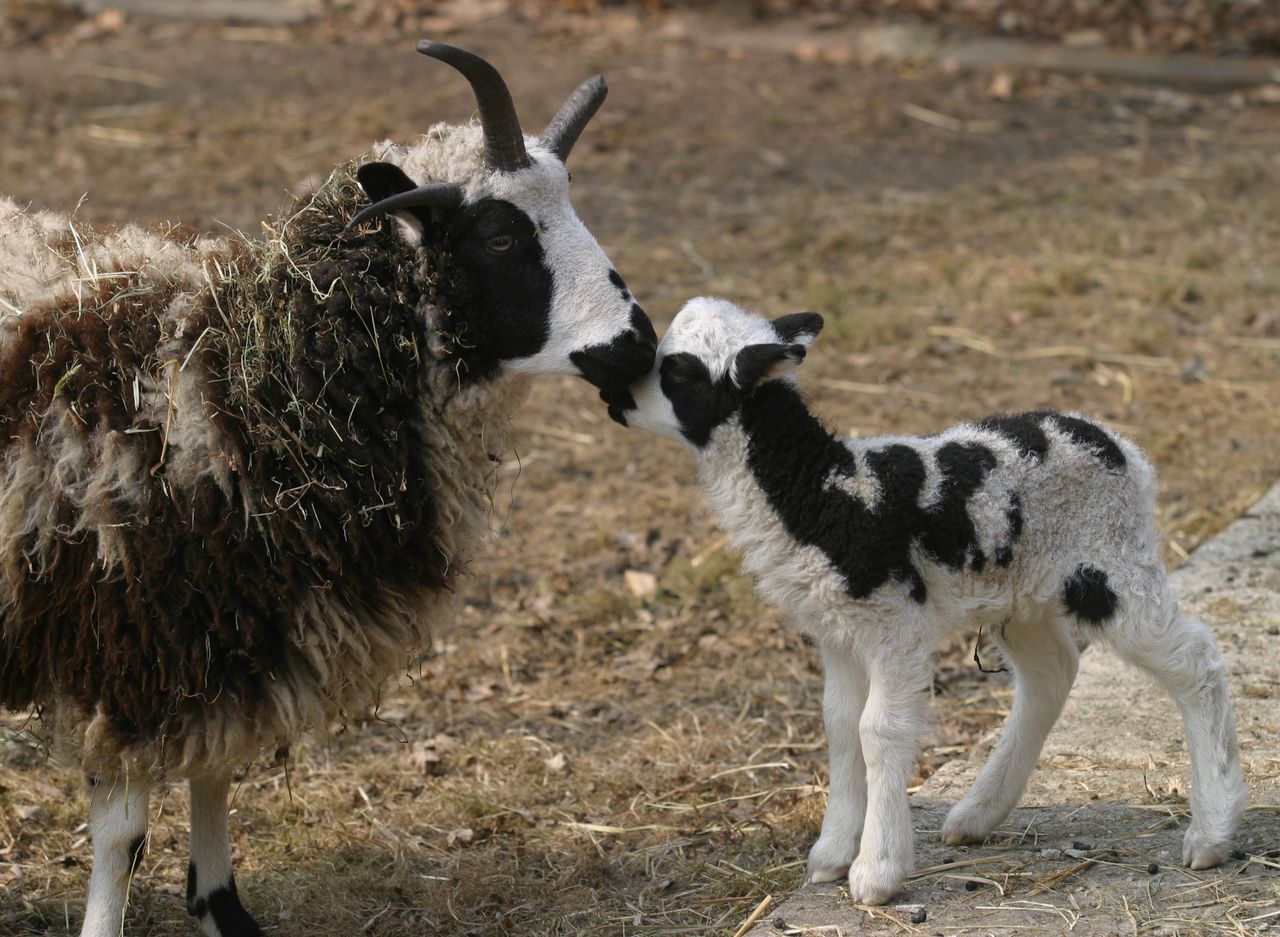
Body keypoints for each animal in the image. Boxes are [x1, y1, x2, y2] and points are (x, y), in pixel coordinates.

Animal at [0, 40, 655, 937]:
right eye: (498, 235)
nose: (639, 344)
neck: (247, 381)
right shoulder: (127, 639)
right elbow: (123, 834)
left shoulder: (232, 624)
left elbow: (214, 770)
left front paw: (221, 906)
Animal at [609, 294, 1239, 906]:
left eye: (678, 371)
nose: (617, 400)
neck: (822, 489)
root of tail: (1117, 446)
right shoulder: (837, 630)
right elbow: (840, 725)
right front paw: (832, 854)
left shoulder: (893, 624)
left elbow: (878, 730)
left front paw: (876, 872)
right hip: (1023, 593)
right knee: (1052, 673)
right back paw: (978, 814)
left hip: (1110, 566)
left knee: (1196, 663)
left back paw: (1213, 830)